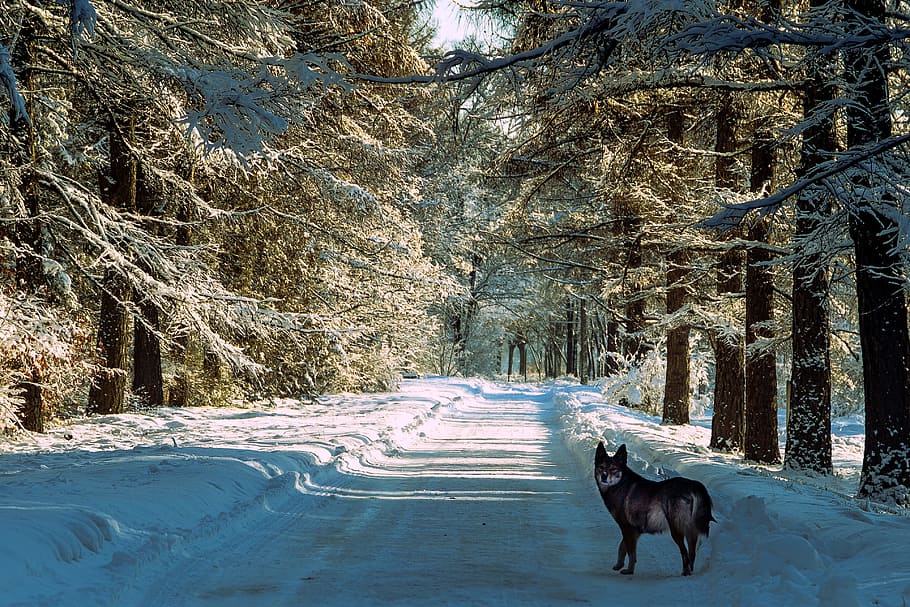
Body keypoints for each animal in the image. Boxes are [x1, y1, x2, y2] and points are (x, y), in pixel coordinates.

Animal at [594, 442, 714, 576]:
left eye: (613, 469)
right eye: (601, 467)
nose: (603, 477)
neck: (619, 484)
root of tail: (693, 485)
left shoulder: (627, 527)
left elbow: (630, 551)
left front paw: (629, 570)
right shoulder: (633, 530)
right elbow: (623, 547)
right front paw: (619, 565)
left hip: (676, 528)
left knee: (685, 553)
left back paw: (685, 572)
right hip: (689, 529)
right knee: (691, 553)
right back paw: (689, 571)